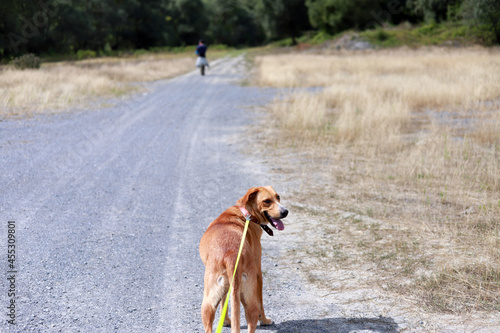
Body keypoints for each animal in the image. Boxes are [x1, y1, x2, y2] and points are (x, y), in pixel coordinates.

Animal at [197, 185, 288, 330]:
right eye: (267, 201)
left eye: (278, 197)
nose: (285, 212)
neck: (246, 214)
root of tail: (231, 256)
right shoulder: (258, 274)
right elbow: (260, 303)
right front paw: (264, 320)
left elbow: (224, 302)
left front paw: (225, 321)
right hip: (245, 301)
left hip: (209, 304)